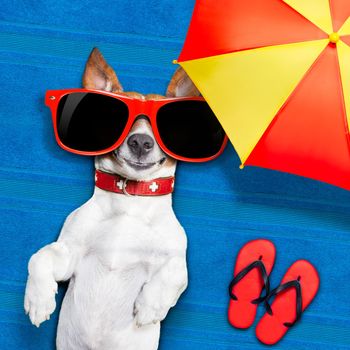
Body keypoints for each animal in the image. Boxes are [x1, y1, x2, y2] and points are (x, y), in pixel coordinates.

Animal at [23, 47, 200, 350]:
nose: (140, 142)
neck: (130, 203)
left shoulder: (176, 257)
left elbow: (177, 272)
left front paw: (150, 306)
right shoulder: (69, 256)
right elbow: (40, 257)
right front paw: (38, 300)